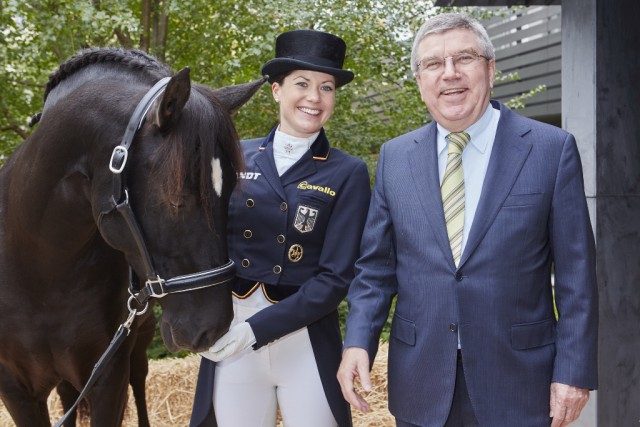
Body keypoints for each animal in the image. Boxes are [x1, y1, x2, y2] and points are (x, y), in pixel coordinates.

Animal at [0, 48, 262, 426]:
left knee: (138, 386)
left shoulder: (108, 377)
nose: (212, 330)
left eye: (228, 194)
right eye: (175, 199)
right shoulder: (17, 391)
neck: (41, 267)